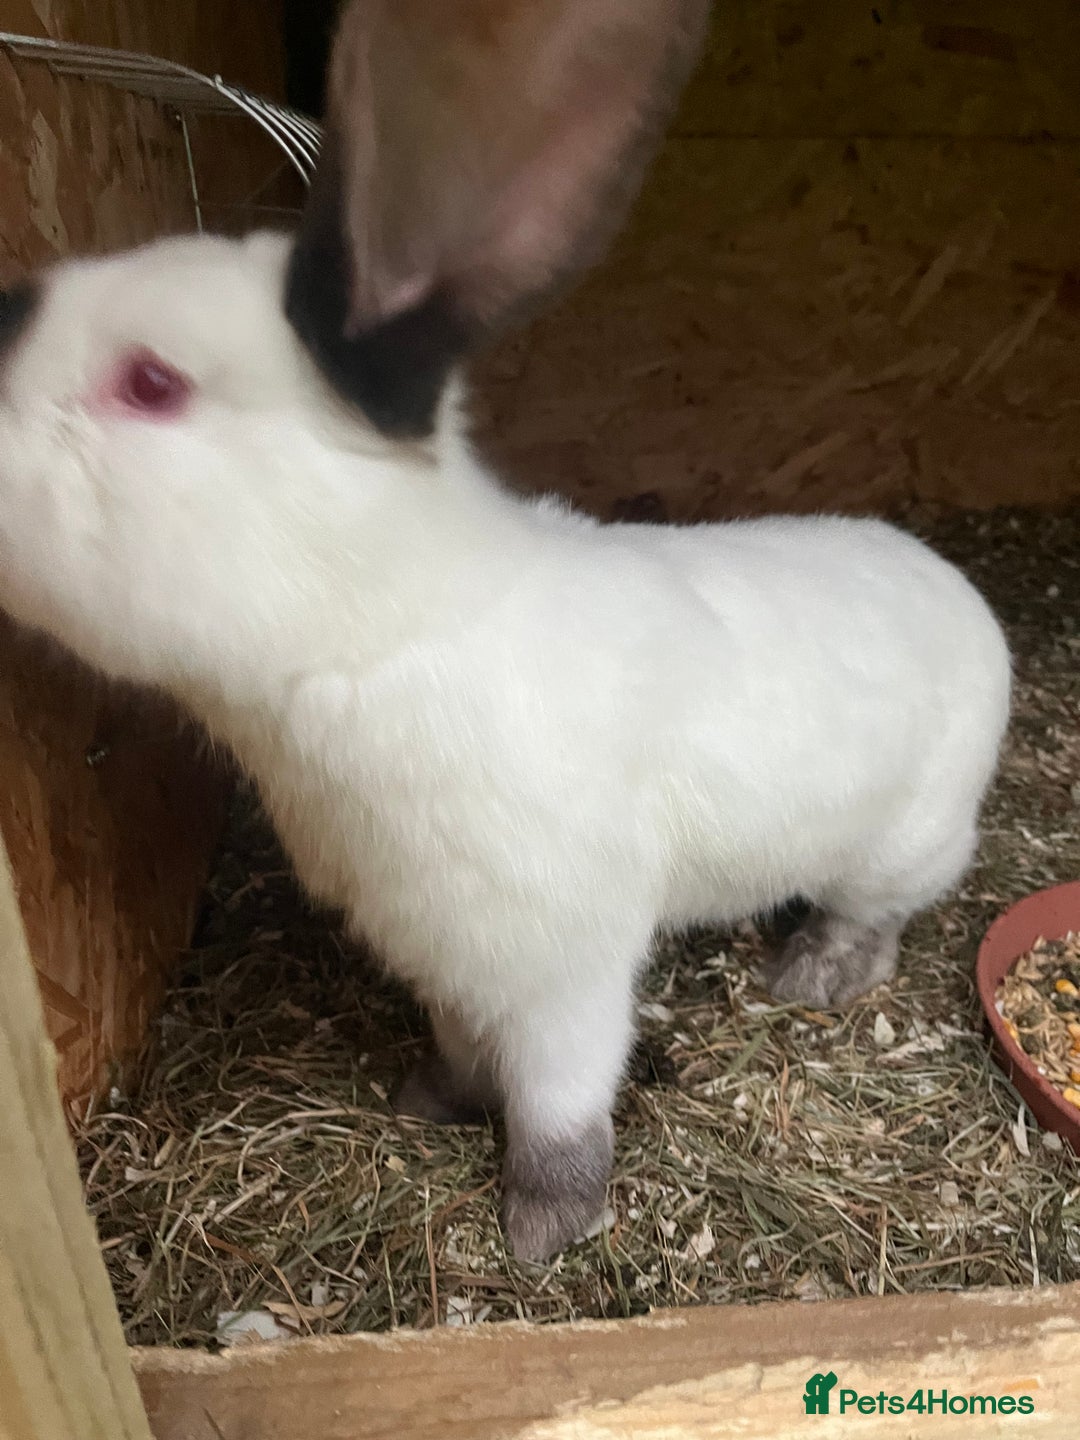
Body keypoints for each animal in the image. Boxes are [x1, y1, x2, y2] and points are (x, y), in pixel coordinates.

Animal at [0, 227, 1010, 1262]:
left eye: (152, 382)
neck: (384, 636)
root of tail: (961, 593)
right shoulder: (442, 948)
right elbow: (462, 1047)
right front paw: (430, 1102)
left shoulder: (562, 969)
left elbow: (560, 1099)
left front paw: (541, 1230)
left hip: (908, 841)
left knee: (879, 917)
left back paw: (814, 972)